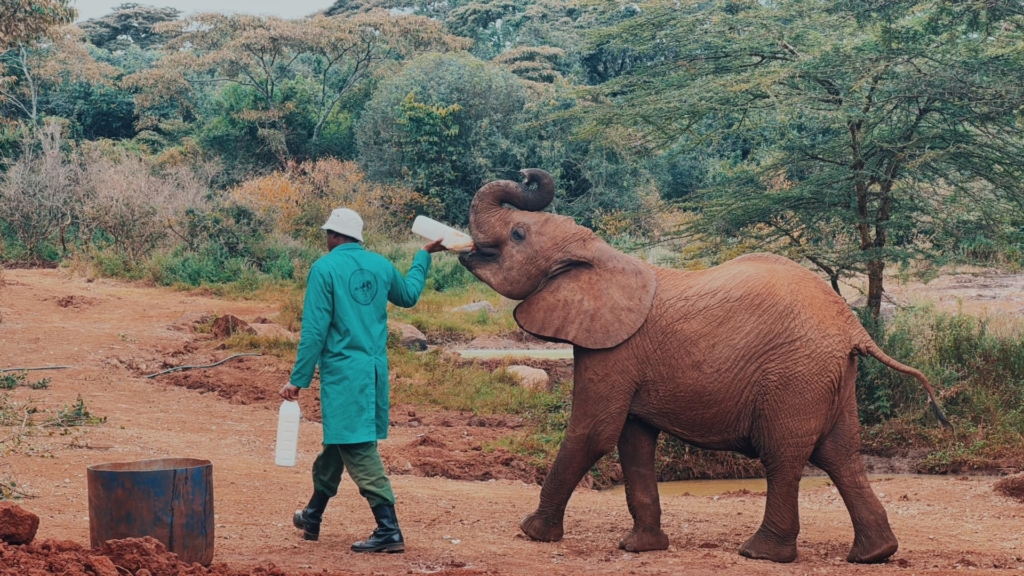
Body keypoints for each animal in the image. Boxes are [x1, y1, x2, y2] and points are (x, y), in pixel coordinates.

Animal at [457, 168, 949, 564]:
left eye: (518, 235)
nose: (526, 171)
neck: (601, 255)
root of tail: (852, 326)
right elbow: (633, 442)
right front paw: (640, 548)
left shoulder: (614, 349)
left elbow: (592, 434)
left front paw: (532, 533)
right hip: (831, 376)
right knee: (841, 454)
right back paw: (875, 554)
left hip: (795, 375)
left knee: (785, 455)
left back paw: (760, 554)